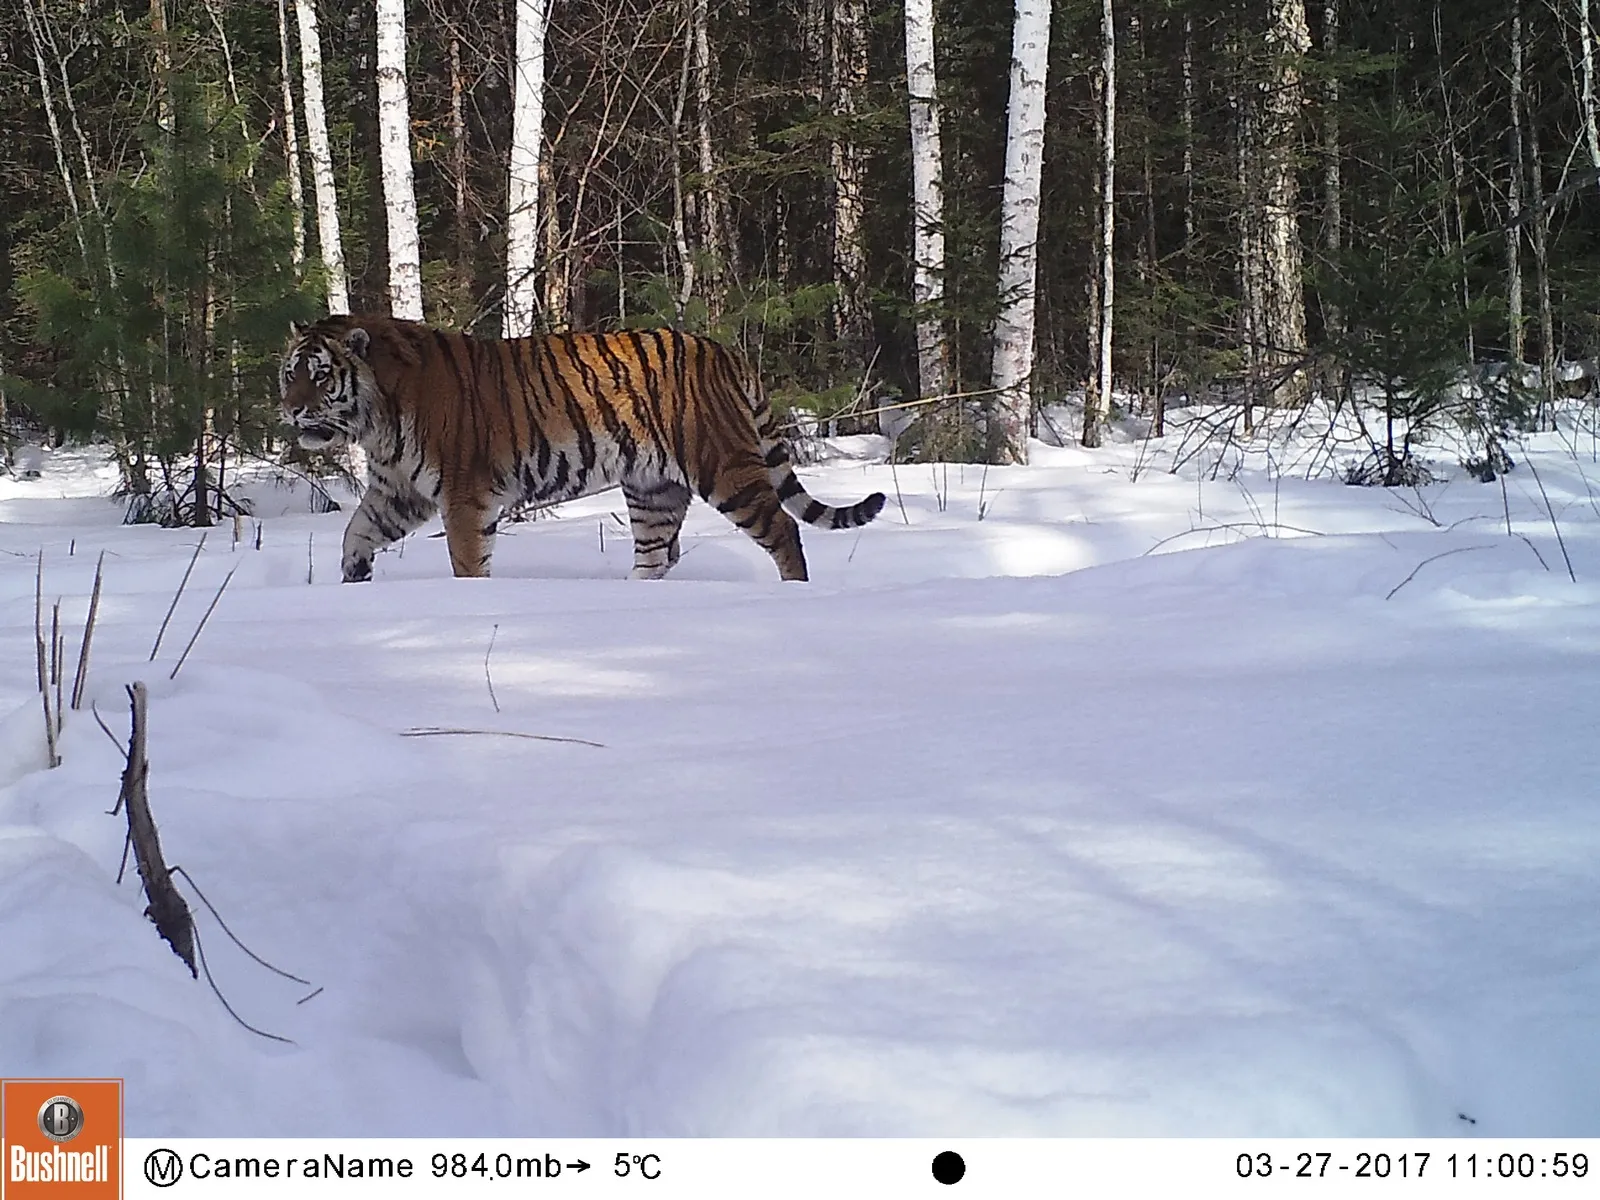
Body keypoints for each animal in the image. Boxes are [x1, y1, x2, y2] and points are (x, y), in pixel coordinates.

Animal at [284, 316, 889, 585]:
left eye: (320, 376)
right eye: (290, 374)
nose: (290, 410)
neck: (375, 420)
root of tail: (723, 351)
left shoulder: (463, 494)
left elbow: (466, 560)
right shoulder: (398, 490)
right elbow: (356, 530)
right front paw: (354, 575)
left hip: (725, 467)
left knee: (784, 532)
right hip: (652, 490)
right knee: (654, 555)